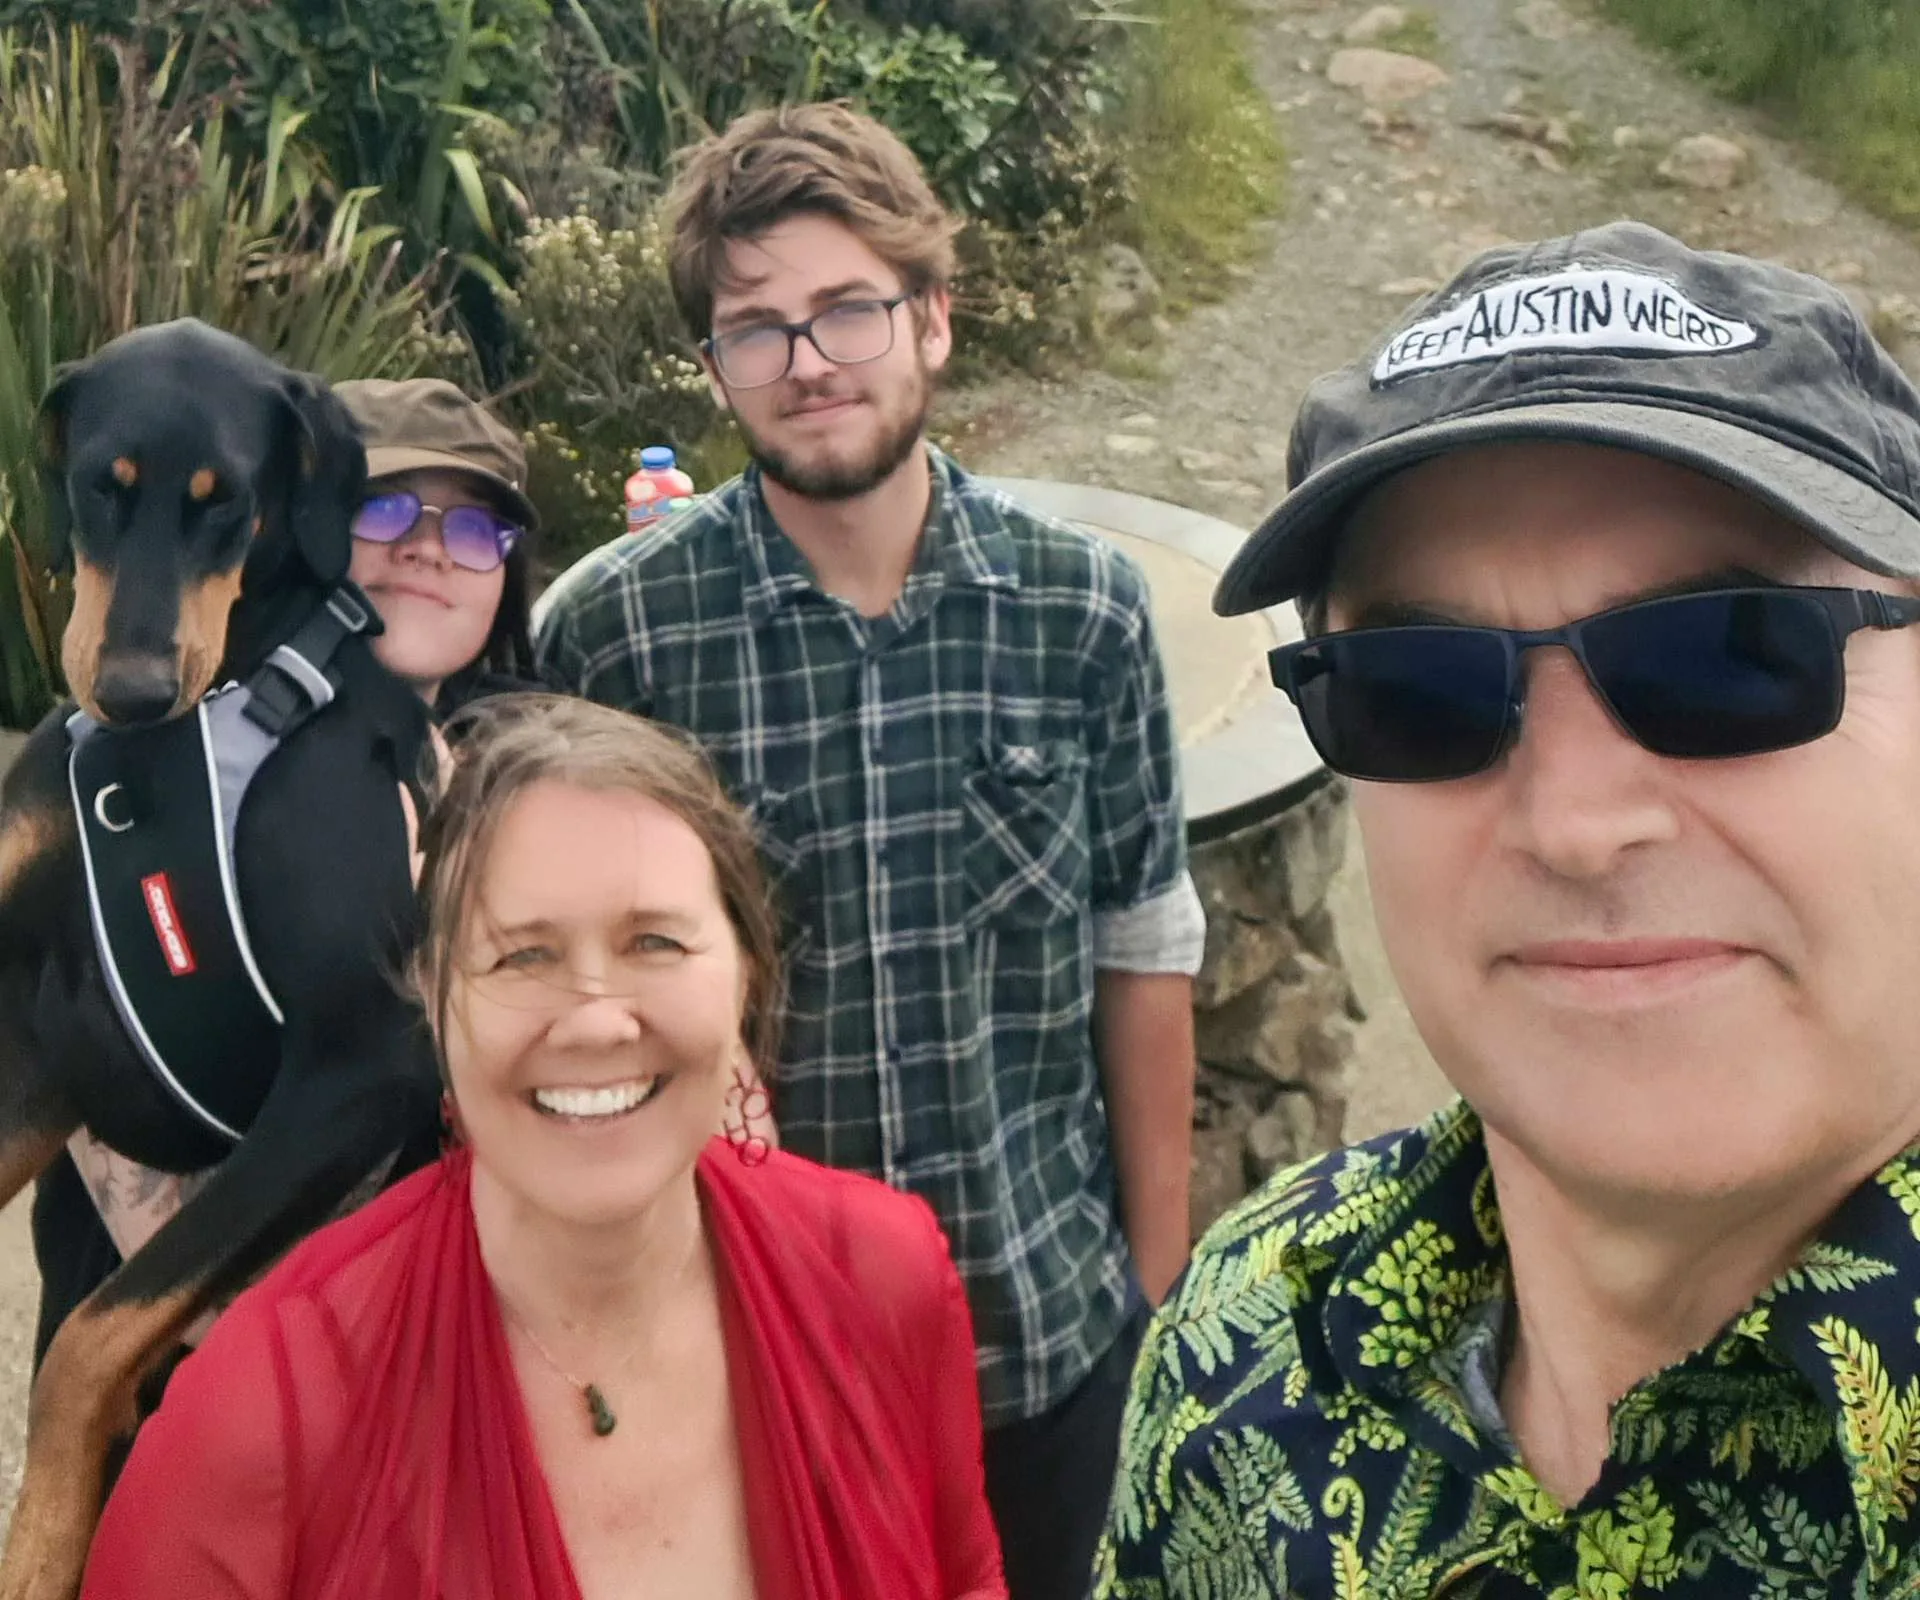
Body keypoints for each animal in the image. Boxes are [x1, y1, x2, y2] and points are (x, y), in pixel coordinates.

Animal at [0, 318, 441, 1590]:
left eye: (228, 503)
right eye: (100, 486)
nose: (132, 691)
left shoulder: (359, 1066)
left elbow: (85, 1347)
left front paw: (41, 1546)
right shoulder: (46, 1037)